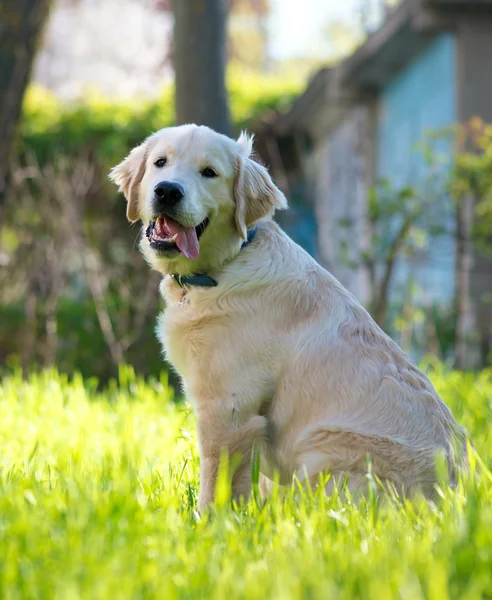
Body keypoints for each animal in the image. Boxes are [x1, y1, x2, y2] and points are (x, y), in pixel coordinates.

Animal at [111, 124, 468, 508]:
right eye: (161, 163)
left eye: (209, 172)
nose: (167, 191)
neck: (224, 265)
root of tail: (454, 496)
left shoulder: (228, 410)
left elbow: (215, 485)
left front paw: (208, 520)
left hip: (324, 448)